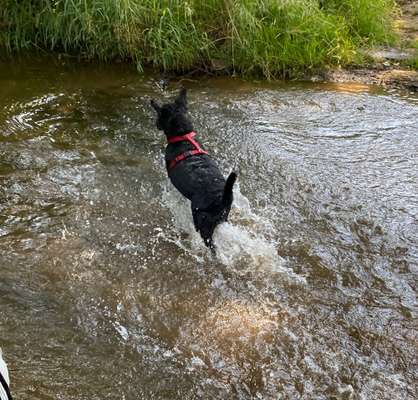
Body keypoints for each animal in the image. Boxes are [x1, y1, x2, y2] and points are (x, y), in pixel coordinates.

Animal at [151, 89, 237, 250]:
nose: (156, 124)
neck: (183, 137)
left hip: (202, 223)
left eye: (160, 114)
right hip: (223, 218)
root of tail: (221, 198)